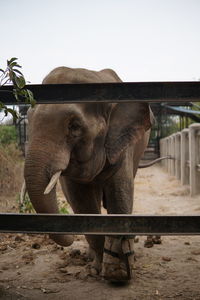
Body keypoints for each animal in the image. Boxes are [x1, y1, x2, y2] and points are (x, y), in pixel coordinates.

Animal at [24, 65, 153, 282]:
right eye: (28, 122)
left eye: (74, 126)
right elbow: (82, 202)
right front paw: (97, 269)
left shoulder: (121, 140)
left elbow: (120, 194)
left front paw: (117, 272)